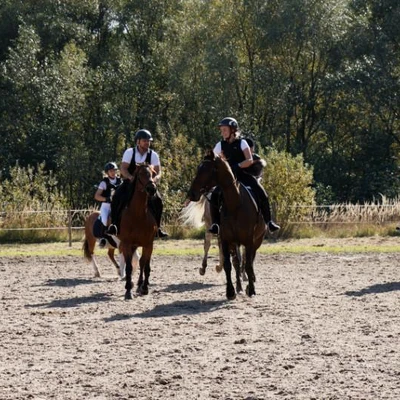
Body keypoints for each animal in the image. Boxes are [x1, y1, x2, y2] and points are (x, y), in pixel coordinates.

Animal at [117, 163, 158, 300]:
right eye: (140, 174)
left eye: (153, 173)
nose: (152, 189)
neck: (138, 215)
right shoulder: (127, 244)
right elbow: (129, 267)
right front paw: (128, 291)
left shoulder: (149, 244)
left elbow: (146, 266)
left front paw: (144, 288)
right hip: (130, 245)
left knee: (142, 263)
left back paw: (140, 285)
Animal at [187, 151, 268, 300]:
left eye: (207, 170)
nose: (192, 194)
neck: (234, 203)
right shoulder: (226, 239)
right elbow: (228, 264)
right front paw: (230, 291)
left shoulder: (248, 240)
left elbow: (248, 264)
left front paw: (251, 289)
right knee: (230, 257)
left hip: (256, 240)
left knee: (249, 260)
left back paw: (248, 281)